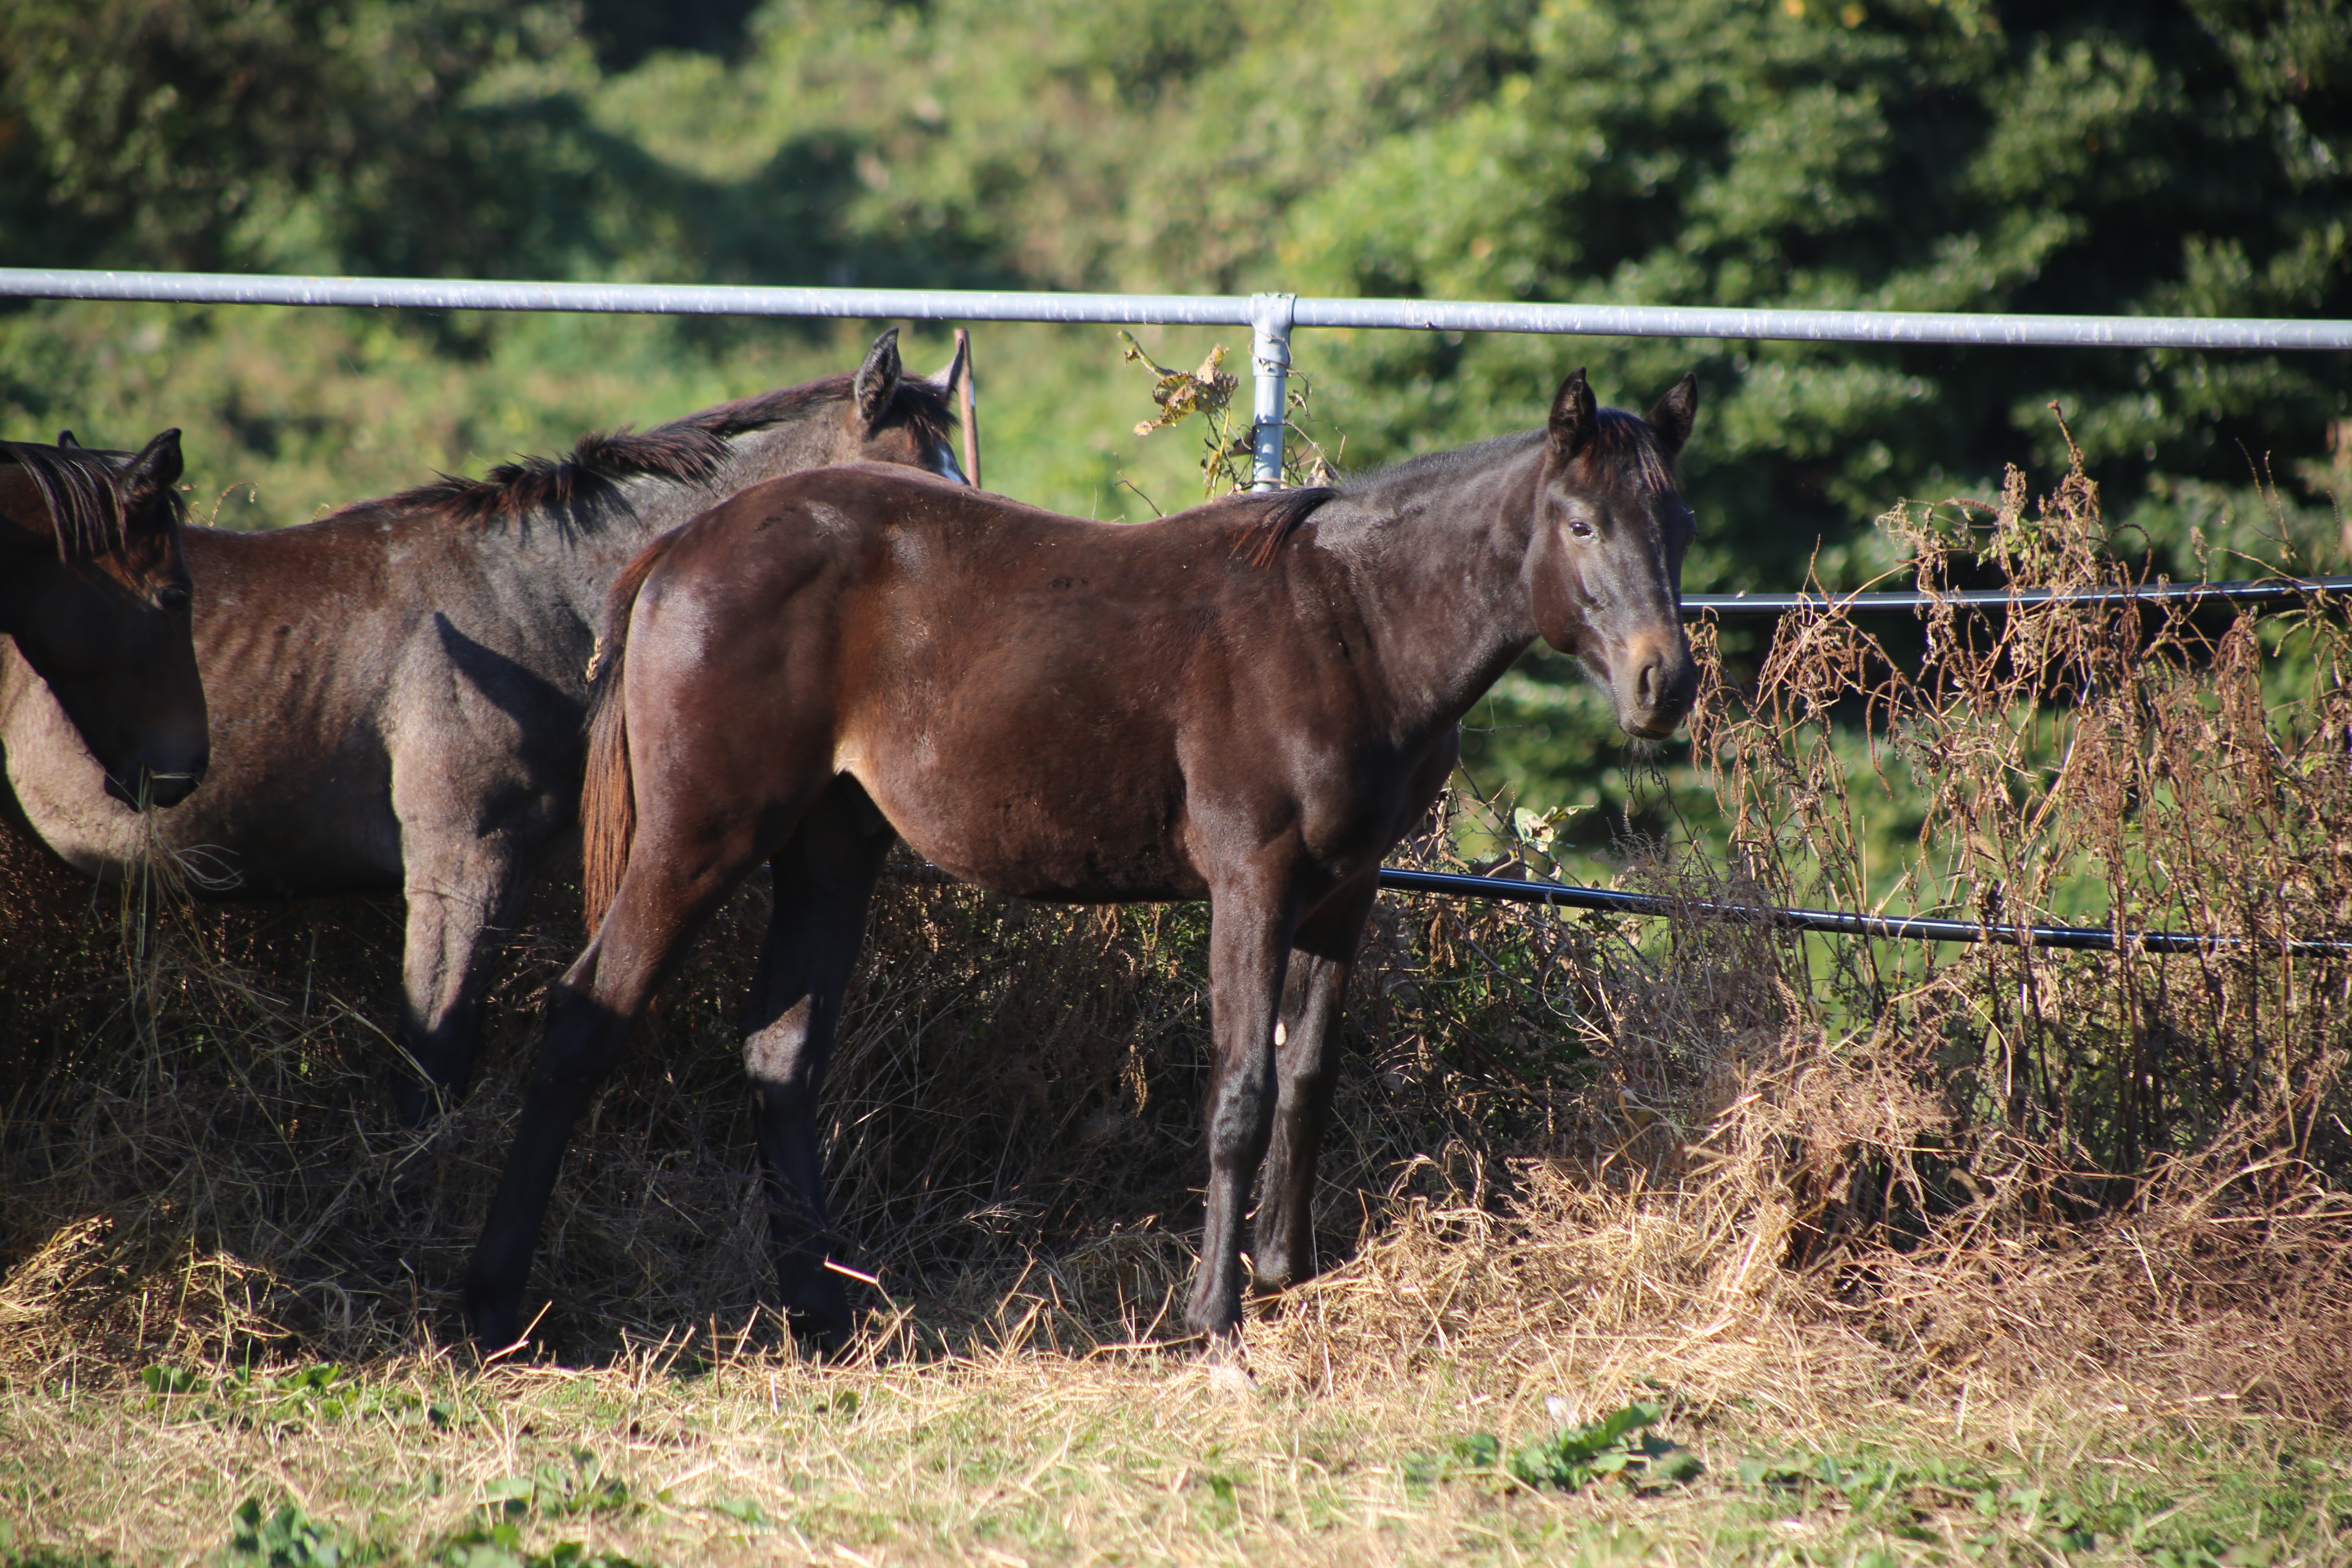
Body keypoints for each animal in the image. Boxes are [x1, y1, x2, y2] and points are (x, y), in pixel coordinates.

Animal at [463, 371, 1712, 1363]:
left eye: (1679, 520)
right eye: (1580, 523)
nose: (1664, 685)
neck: (1347, 623)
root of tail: (678, 548)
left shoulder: (1345, 890)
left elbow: (1309, 1077)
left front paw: (1285, 1274)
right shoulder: (1252, 882)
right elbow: (1240, 1092)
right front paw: (1215, 1319)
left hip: (827, 850)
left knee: (780, 1056)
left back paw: (822, 1316)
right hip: (697, 840)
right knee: (583, 1020)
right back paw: (493, 1311)